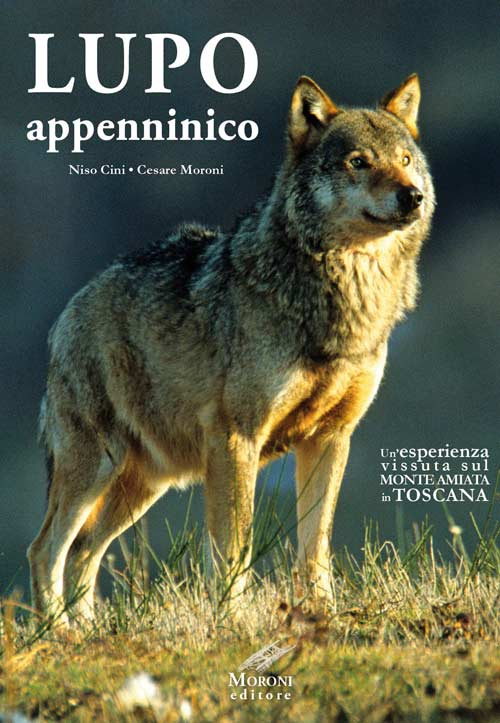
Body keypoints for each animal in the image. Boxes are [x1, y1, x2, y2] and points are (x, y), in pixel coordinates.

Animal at [28, 73, 435, 622]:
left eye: (405, 159)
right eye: (358, 162)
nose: (413, 196)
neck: (339, 299)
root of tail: (70, 307)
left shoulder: (331, 437)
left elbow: (316, 544)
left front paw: (320, 614)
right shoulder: (236, 438)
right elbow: (233, 546)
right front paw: (233, 620)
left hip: (145, 484)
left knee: (82, 553)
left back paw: (89, 632)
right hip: (98, 466)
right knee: (47, 549)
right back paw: (62, 633)